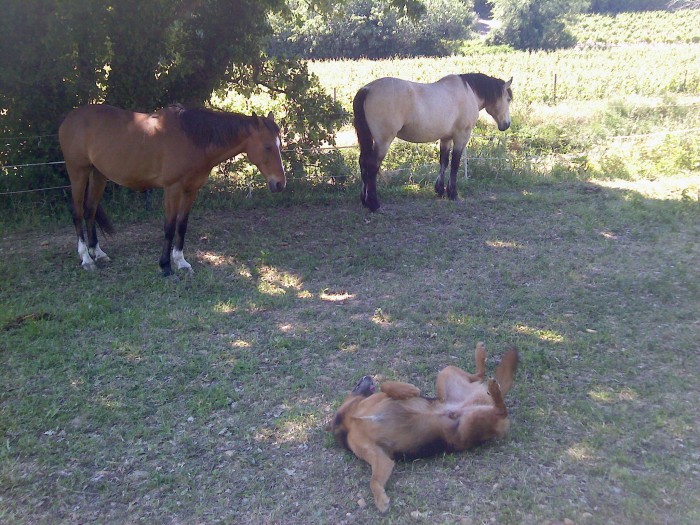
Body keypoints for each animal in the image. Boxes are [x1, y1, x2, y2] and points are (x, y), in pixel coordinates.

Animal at [58, 102, 284, 274]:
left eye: (279, 145)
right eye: (267, 147)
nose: (280, 184)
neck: (192, 139)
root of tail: (69, 119)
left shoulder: (191, 190)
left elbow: (182, 225)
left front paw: (181, 262)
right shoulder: (172, 189)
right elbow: (169, 226)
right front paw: (165, 266)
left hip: (98, 175)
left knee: (90, 210)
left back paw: (98, 253)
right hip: (78, 172)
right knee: (78, 213)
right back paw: (86, 259)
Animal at [326, 344, 516, 512]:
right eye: (356, 384)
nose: (367, 376)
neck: (352, 419)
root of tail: (485, 400)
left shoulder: (379, 398)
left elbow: (386, 385)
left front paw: (408, 390)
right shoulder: (381, 458)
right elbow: (374, 482)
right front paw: (381, 499)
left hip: (446, 374)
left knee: (481, 378)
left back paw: (482, 360)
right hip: (467, 425)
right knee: (500, 408)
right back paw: (493, 386)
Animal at [352, 72, 512, 211]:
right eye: (508, 99)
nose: (507, 124)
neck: (469, 92)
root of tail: (368, 89)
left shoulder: (446, 138)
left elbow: (444, 162)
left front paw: (440, 190)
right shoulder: (461, 136)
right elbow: (455, 164)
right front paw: (453, 193)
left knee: (363, 163)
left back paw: (364, 200)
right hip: (383, 141)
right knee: (372, 166)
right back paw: (373, 204)